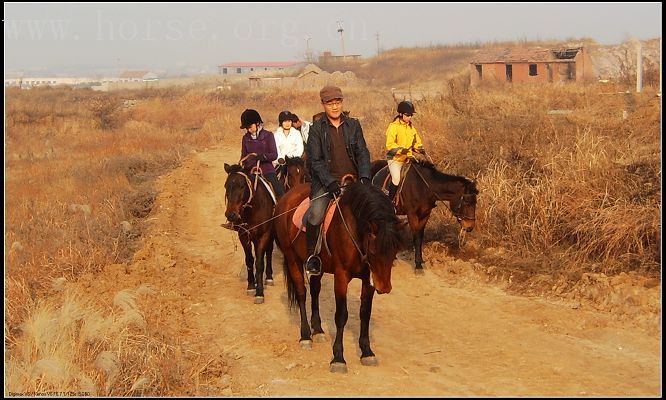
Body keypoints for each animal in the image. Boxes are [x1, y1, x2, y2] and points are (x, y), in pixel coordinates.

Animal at [223, 162, 274, 304]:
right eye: (226, 186)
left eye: (241, 186)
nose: (231, 215)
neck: (254, 209)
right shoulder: (244, 235)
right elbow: (250, 260)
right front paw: (251, 286)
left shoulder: (263, 236)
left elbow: (260, 263)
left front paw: (259, 293)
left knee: (269, 252)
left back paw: (269, 277)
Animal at [272, 183, 408, 374]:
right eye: (374, 251)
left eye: (395, 251)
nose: (384, 288)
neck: (355, 230)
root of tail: (286, 197)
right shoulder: (342, 277)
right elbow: (341, 315)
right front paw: (338, 358)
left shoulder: (368, 279)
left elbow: (365, 313)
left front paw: (367, 352)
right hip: (292, 259)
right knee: (301, 294)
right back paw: (306, 336)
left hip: (318, 267)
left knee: (315, 291)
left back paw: (318, 331)